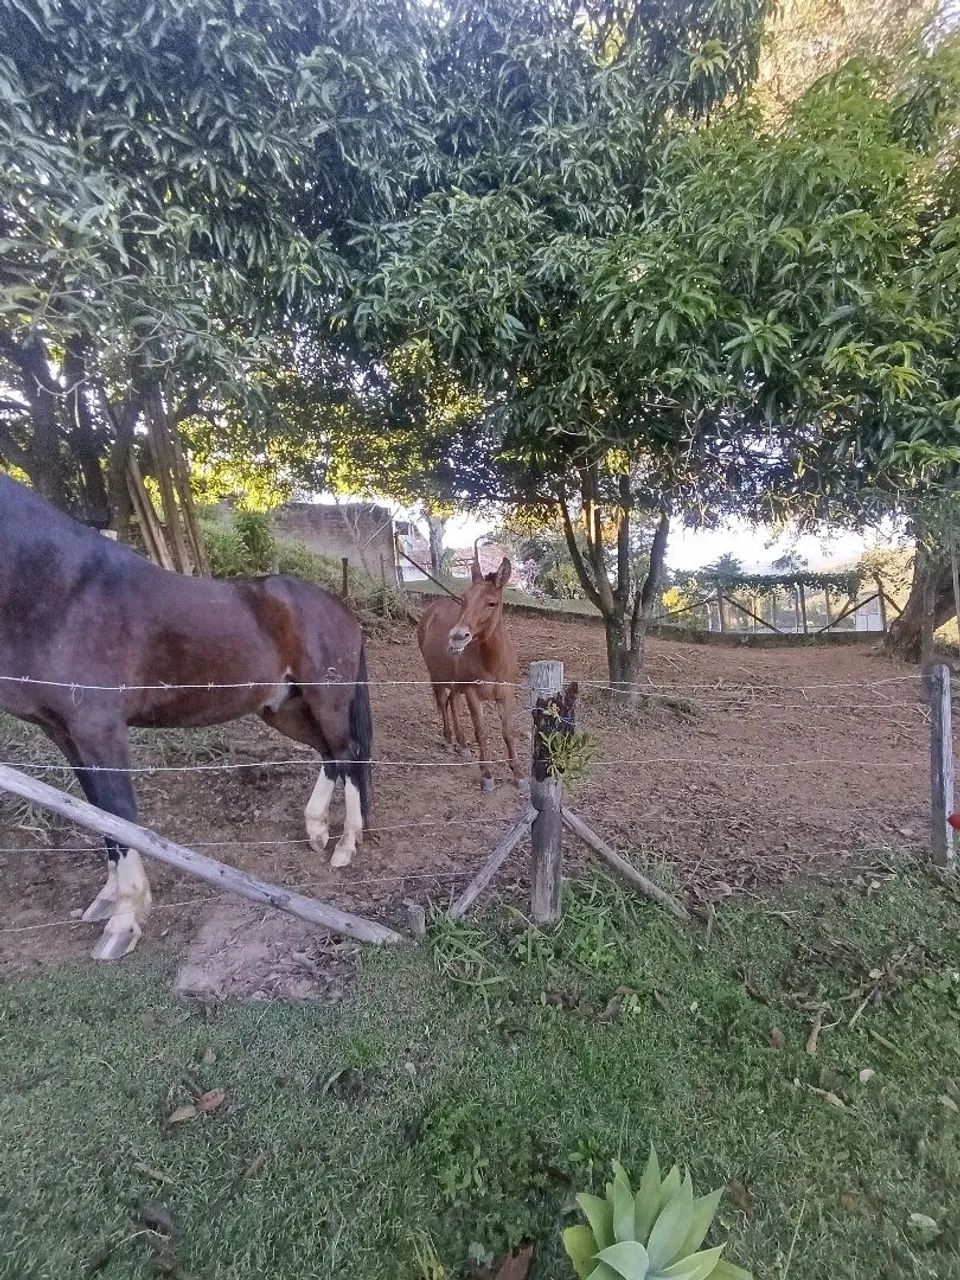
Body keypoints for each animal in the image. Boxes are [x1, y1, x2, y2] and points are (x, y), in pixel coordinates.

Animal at [0, 475, 373, 960]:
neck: (64, 588)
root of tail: (342, 608)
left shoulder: (99, 731)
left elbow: (118, 814)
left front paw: (124, 921)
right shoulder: (64, 734)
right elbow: (96, 811)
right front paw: (108, 900)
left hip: (325, 700)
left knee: (349, 755)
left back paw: (345, 845)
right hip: (285, 709)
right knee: (331, 756)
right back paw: (316, 829)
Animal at [416, 557, 522, 790]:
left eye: (492, 603)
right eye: (464, 600)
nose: (457, 637)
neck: (492, 663)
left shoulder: (506, 693)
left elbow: (508, 731)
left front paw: (519, 775)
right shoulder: (473, 693)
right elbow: (481, 731)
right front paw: (487, 775)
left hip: (457, 683)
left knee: (452, 702)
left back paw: (463, 745)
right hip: (437, 677)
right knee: (443, 702)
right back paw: (449, 741)